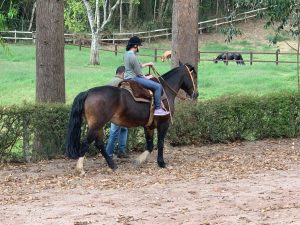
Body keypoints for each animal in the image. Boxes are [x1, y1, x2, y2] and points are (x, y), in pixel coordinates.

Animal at [65, 63, 197, 176]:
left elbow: (149, 145)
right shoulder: (164, 123)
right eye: (194, 76)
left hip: (98, 126)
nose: (196, 94)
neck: (165, 90)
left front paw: (140, 160)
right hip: (96, 125)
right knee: (86, 143)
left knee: (99, 144)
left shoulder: (148, 126)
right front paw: (162, 163)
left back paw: (112, 165)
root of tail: (88, 92)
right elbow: (160, 143)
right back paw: (80, 169)